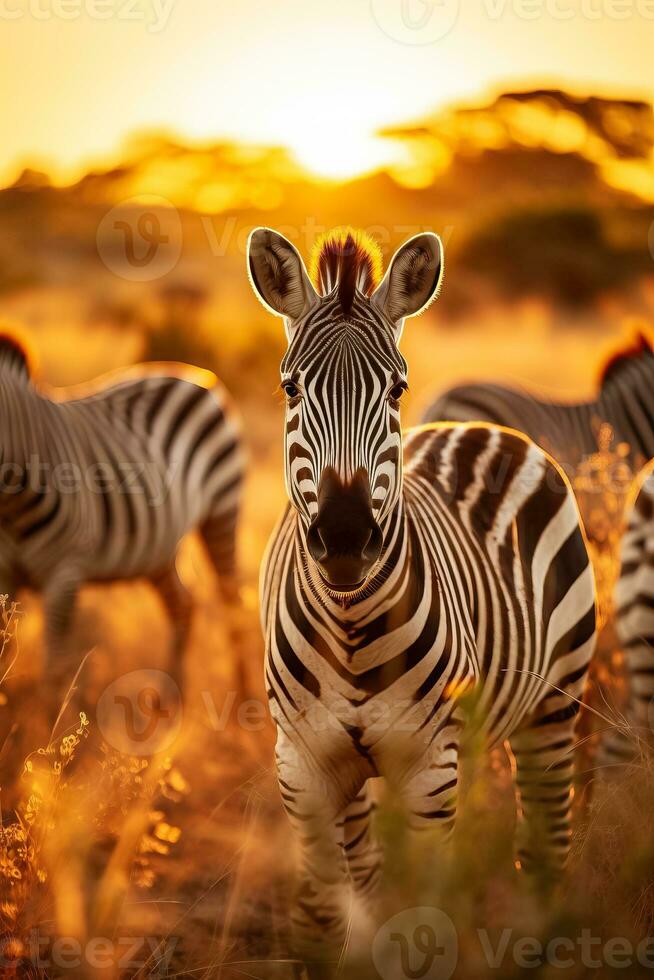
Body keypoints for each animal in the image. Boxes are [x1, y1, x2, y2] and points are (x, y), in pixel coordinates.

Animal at [0, 334, 243, 692]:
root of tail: (192, 375)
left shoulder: (65, 574)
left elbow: (55, 671)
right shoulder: (5, 575)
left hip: (223, 510)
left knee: (233, 605)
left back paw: (243, 695)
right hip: (158, 546)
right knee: (183, 605)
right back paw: (170, 699)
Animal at [247, 226, 600, 968]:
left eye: (397, 389)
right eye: (290, 388)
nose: (346, 538)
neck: (350, 628)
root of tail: (477, 429)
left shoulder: (430, 769)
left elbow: (420, 927)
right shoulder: (304, 768)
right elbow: (325, 913)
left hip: (554, 708)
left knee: (545, 848)